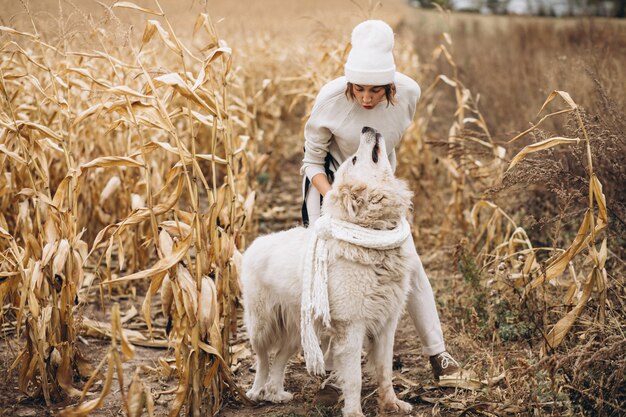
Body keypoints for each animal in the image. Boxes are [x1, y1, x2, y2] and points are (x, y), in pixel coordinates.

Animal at [241, 127, 412, 416]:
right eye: (354, 159)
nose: (366, 128)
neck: (371, 237)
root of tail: (253, 245)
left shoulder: (387, 324)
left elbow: (385, 370)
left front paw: (391, 403)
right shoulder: (352, 328)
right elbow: (354, 379)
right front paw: (354, 412)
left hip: (297, 330)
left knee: (279, 359)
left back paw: (276, 393)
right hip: (262, 325)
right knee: (263, 358)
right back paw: (257, 392)